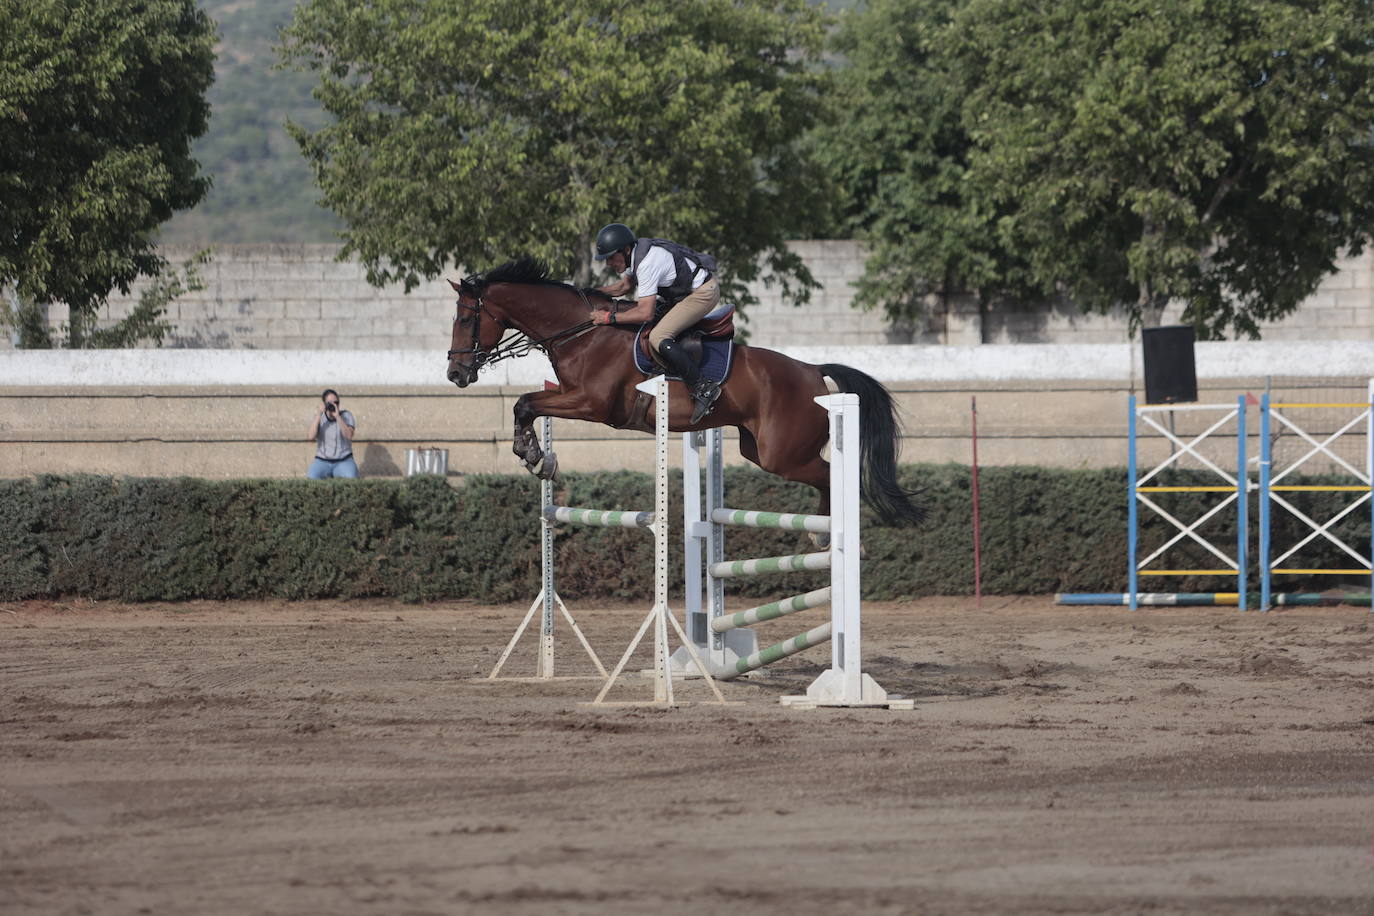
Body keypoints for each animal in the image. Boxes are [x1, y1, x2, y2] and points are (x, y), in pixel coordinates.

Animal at [447, 258, 923, 530]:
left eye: (466, 319)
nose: (455, 373)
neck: (582, 331)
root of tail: (812, 372)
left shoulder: (592, 403)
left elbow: (525, 402)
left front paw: (532, 455)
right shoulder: (569, 394)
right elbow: (525, 404)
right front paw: (535, 456)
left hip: (782, 453)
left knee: (829, 474)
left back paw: (825, 533)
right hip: (757, 449)